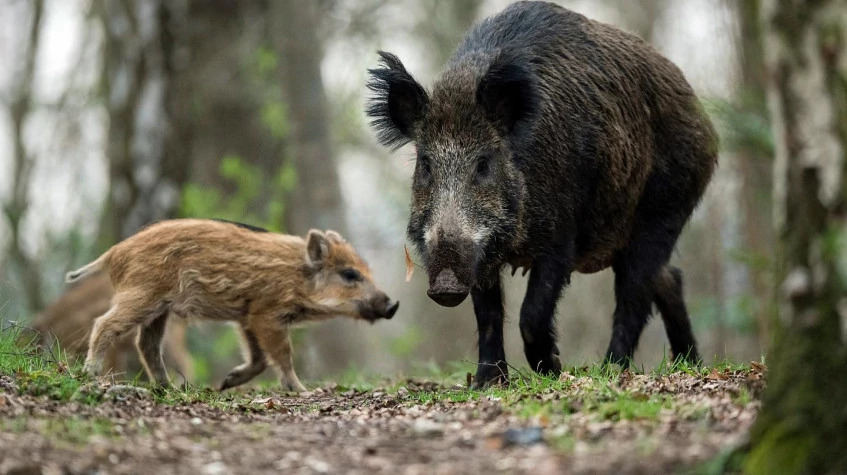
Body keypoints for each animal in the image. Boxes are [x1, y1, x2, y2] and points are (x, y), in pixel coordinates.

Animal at [65, 219, 399, 391]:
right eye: (350, 274)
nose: (392, 304)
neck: (296, 276)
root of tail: (113, 253)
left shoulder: (247, 317)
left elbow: (260, 359)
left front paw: (226, 384)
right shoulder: (266, 314)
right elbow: (282, 355)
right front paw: (303, 391)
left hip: (159, 308)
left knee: (146, 343)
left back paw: (170, 388)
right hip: (142, 295)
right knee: (105, 324)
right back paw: (91, 373)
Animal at [367, 1, 717, 387]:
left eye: (484, 164)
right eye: (426, 164)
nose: (444, 285)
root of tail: (706, 125)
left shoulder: (561, 236)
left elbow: (532, 312)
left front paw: (551, 369)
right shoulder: (482, 254)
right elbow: (488, 315)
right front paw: (488, 382)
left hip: (663, 210)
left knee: (636, 292)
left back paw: (611, 369)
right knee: (668, 279)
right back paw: (690, 363)